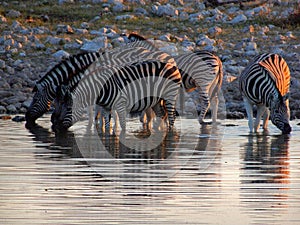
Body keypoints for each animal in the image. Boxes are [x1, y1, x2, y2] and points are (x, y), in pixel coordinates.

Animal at [51, 59, 182, 131]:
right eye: (54, 103)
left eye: (68, 108)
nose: (53, 125)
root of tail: (172, 65)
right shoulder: (106, 107)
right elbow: (106, 126)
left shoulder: (120, 104)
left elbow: (122, 126)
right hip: (156, 101)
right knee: (162, 115)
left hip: (170, 96)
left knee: (171, 118)